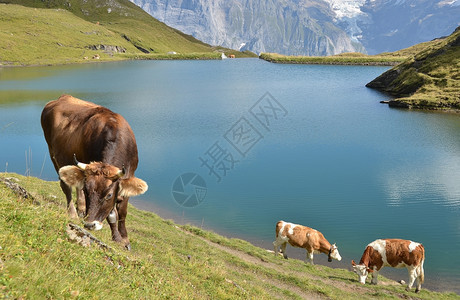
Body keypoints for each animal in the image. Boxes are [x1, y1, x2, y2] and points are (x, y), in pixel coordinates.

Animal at [42, 95, 147, 250]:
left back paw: (81, 208)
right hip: (53, 154)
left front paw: (124, 240)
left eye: (109, 195)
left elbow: (122, 212)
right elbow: (112, 214)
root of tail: (62, 97)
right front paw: (117, 238)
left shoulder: (129, 175)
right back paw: (73, 213)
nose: (89, 224)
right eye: (87, 191)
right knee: (66, 186)